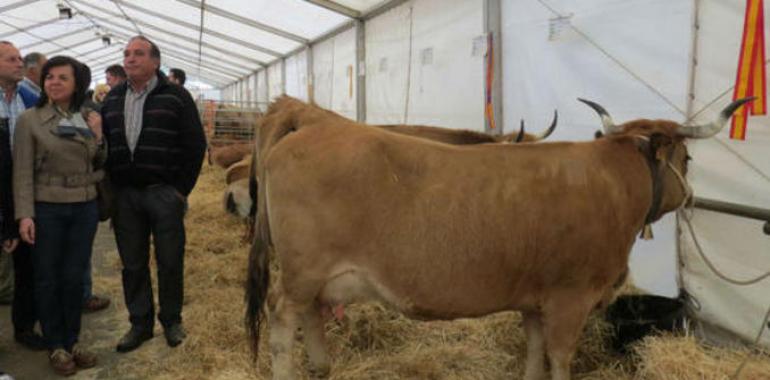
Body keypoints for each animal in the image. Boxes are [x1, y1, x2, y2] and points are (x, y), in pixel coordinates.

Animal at [248, 95, 752, 380]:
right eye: (688, 159)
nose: (690, 194)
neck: (612, 182)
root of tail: (309, 120)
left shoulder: (535, 299)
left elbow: (533, 353)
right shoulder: (571, 298)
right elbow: (559, 358)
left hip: (315, 276)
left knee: (310, 314)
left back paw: (322, 367)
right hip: (302, 270)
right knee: (281, 315)